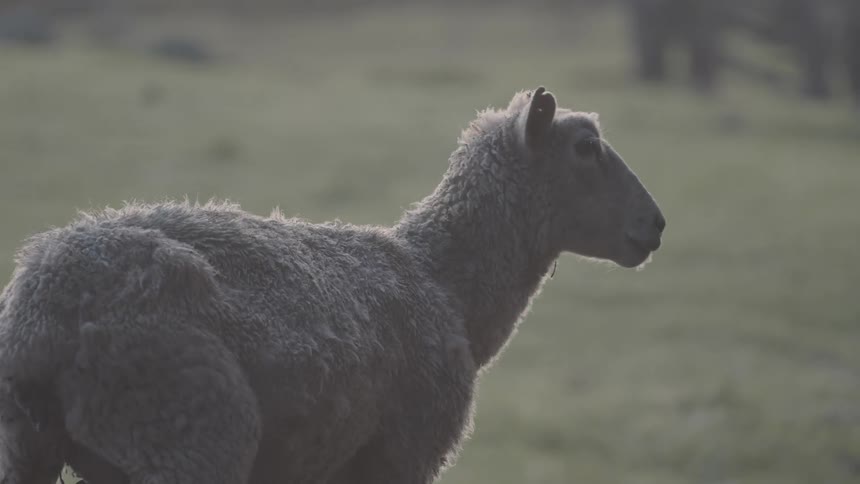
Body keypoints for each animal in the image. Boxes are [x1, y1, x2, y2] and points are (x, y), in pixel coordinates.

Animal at [0, 86, 665, 484]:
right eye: (586, 147)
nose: (655, 224)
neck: (443, 282)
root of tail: (40, 317)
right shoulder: (403, 455)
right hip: (186, 436)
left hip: (29, 447)